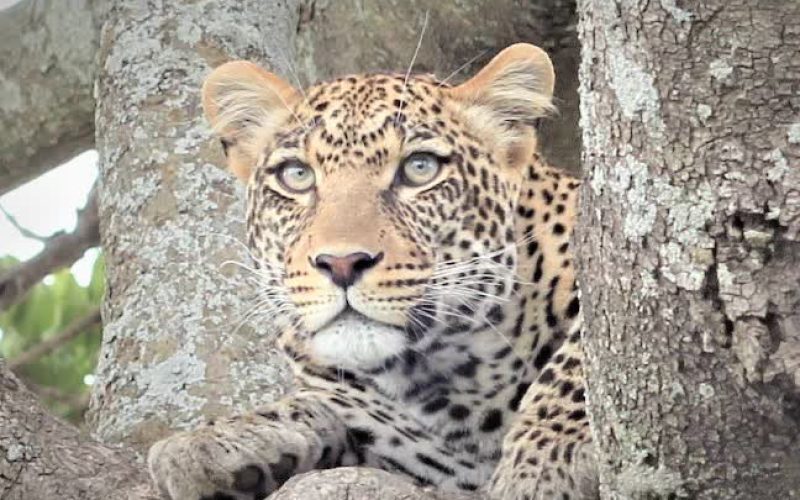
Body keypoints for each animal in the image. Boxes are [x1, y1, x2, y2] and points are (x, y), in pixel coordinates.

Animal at [148, 44, 600, 500]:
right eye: (297, 175)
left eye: (420, 167)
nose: (341, 263)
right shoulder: (432, 460)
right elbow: (326, 408)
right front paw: (216, 440)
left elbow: (578, 357)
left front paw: (543, 459)